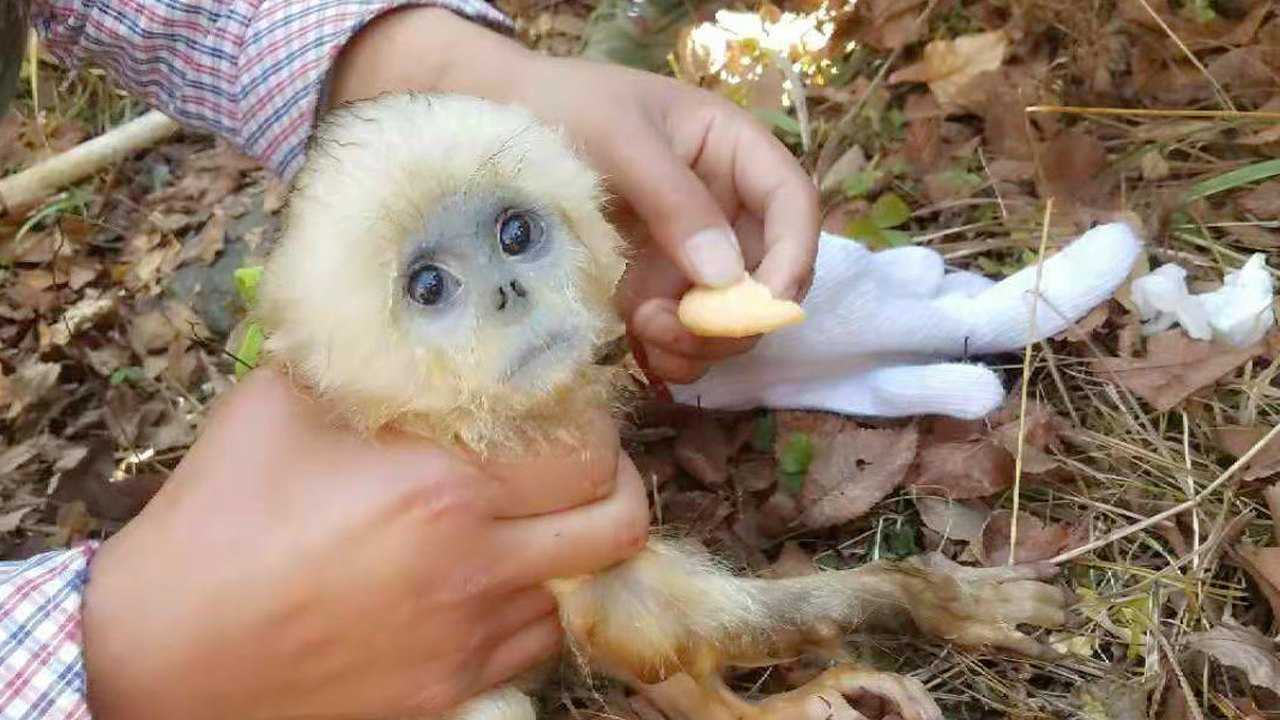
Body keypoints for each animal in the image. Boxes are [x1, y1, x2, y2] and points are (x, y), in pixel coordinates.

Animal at [254, 95, 1064, 717]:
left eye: (515, 235)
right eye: (429, 286)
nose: (508, 292)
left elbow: (637, 634)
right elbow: (631, 615)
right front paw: (912, 599)